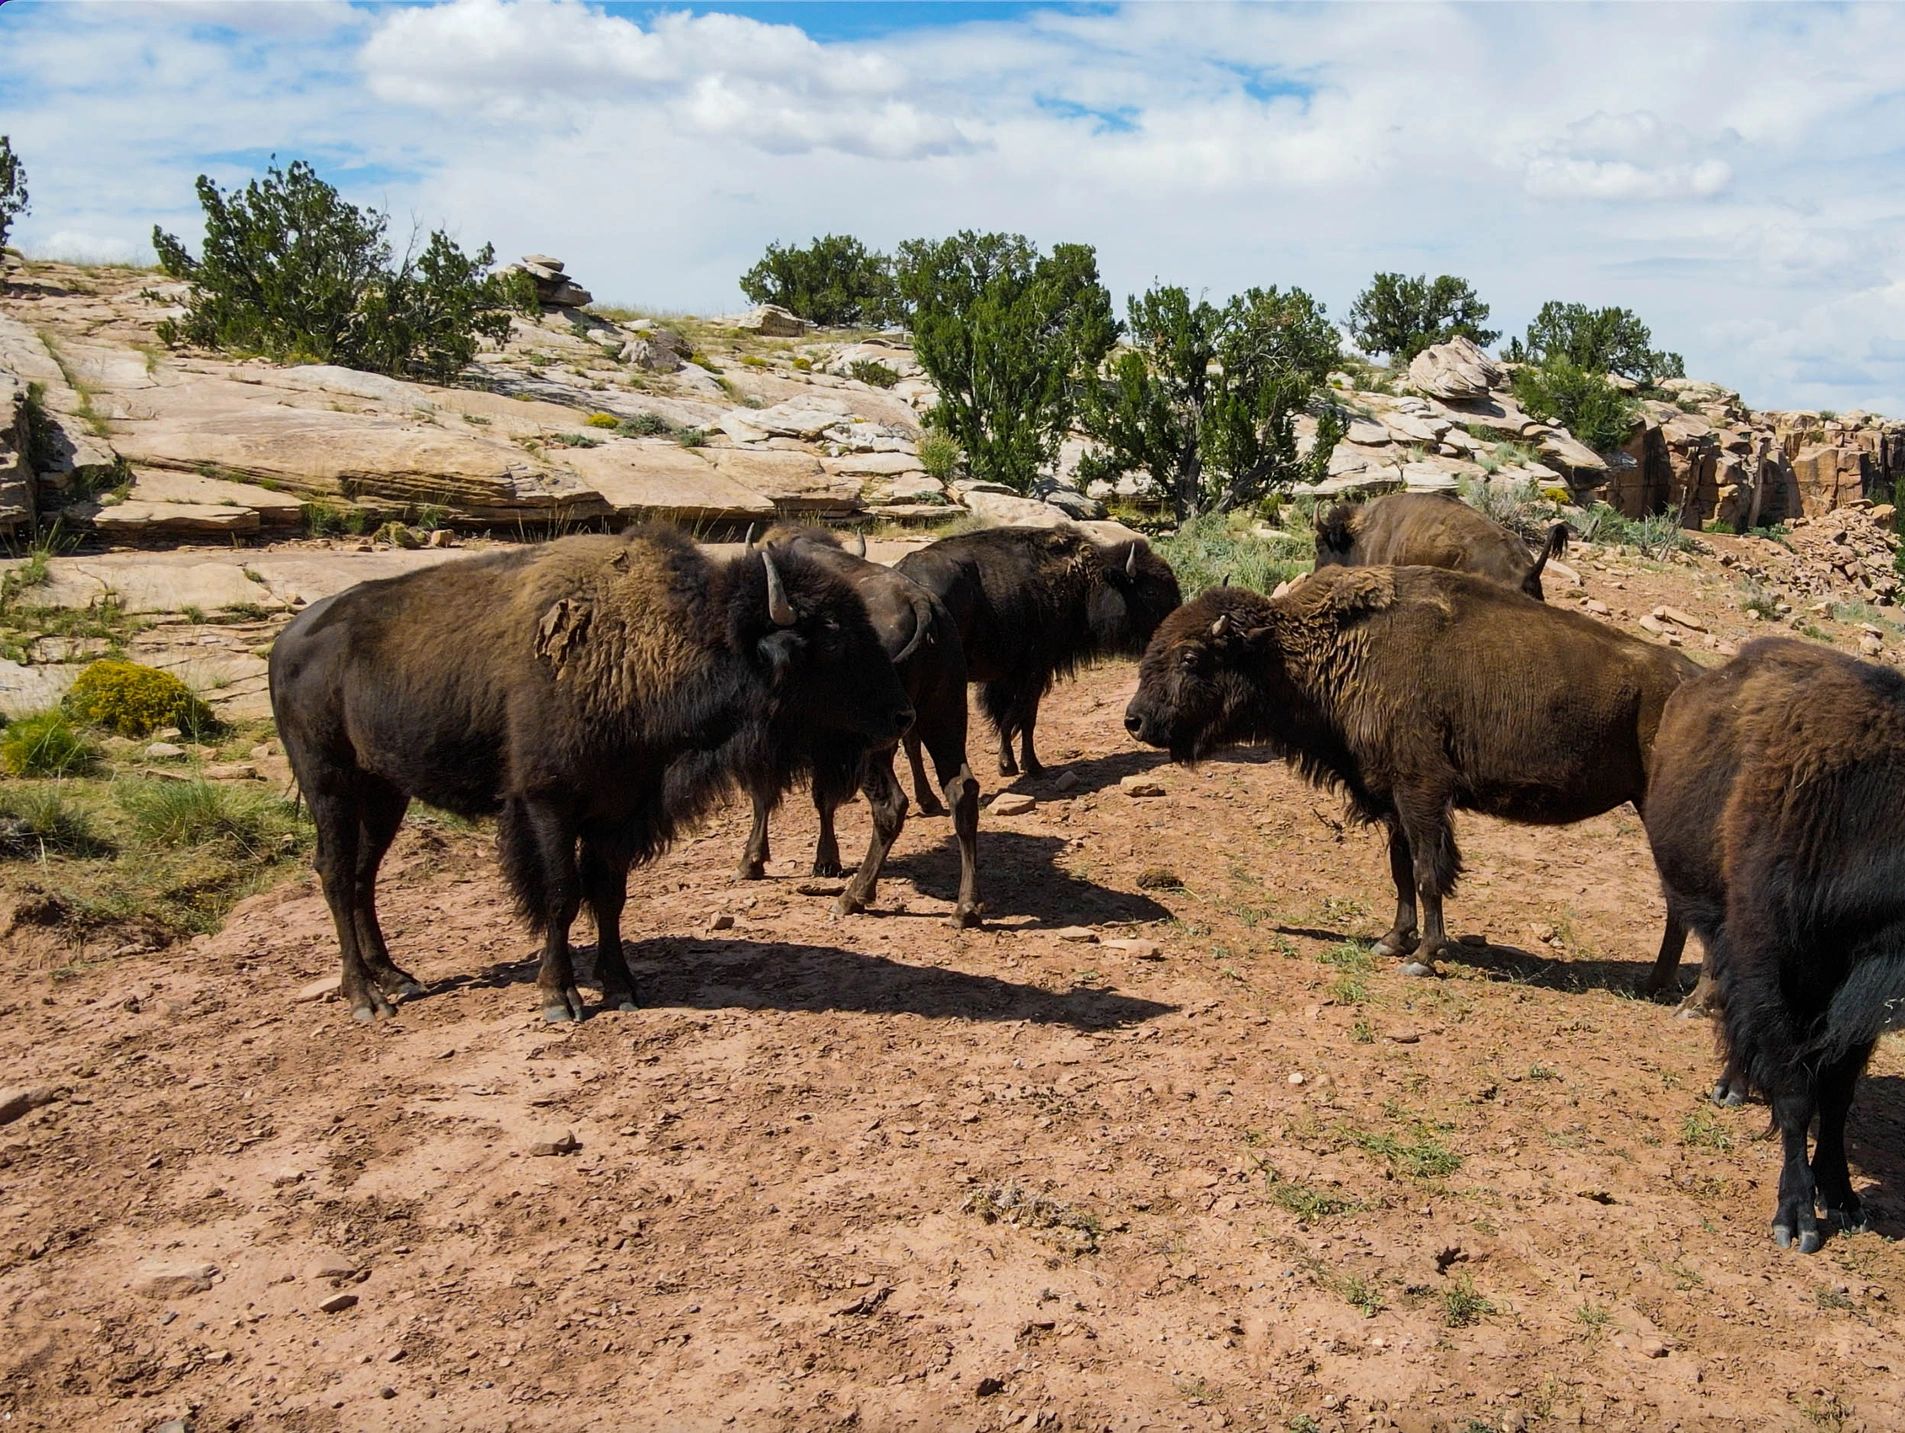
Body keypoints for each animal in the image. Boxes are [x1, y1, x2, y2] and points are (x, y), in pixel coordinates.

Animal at [269, 525, 912, 1024]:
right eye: (832, 640)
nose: (900, 714)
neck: (653, 644)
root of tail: (289, 639)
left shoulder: (620, 810)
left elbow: (608, 891)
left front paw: (622, 985)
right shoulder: (548, 805)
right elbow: (561, 893)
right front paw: (561, 996)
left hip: (384, 791)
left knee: (363, 874)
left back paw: (397, 977)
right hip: (329, 781)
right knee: (334, 872)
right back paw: (366, 998)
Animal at [728, 526, 981, 927]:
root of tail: (921, 603)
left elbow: (766, 793)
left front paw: (751, 861)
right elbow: (821, 797)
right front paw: (825, 861)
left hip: (878, 743)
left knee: (891, 805)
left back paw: (853, 898)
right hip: (945, 718)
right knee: (961, 790)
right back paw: (964, 908)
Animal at [895, 525, 1181, 780]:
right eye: (1151, 590)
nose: (1174, 629)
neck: (1084, 580)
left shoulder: (1009, 676)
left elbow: (1009, 717)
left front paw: (1012, 764)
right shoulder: (1034, 671)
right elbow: (1023, 718)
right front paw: (1025, 766)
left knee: (911, 741)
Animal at [1124, 565, 1696, 979]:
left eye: (1192, 658)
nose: (1135, 720)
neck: (1325, 649)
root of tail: (1692, 677)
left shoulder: (1421, 792)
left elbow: (1426, 870)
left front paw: (1423, 957)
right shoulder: (1390, 796)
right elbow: (1401, 870)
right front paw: (1392, 941)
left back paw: (1678, 994)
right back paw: (1660, 984)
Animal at [1643, 637, 1905, 1252]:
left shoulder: (1855, 1006)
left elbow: (1836, 1096)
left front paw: (1845, 1199)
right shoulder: (1770, 969)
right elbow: (1794, 1094)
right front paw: (1797, 1219)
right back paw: (1733, 1087)